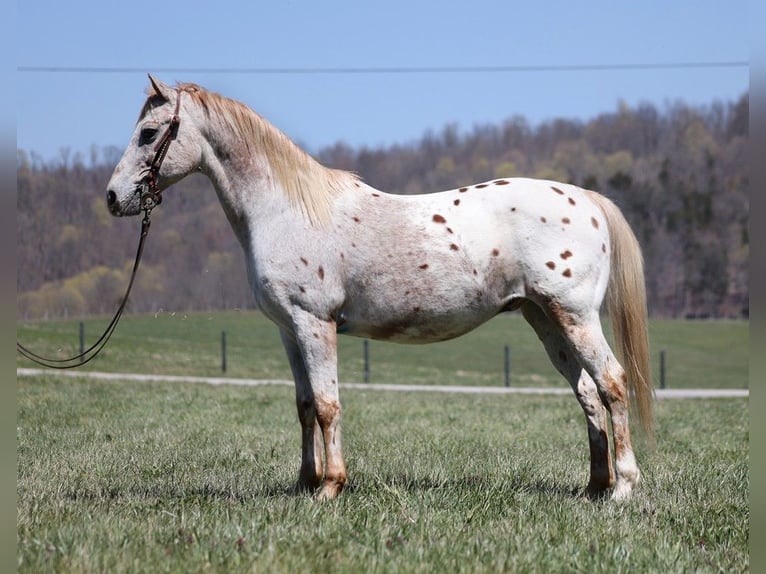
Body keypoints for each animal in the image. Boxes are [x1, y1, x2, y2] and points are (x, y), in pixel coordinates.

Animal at [106, 77, 656, 504]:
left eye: (149, 132)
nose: (113, 198)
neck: (286, 209)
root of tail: (584, 199)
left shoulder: (315, 323)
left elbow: (328, 405)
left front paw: (331, 488)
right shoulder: (288, 330)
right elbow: (304, 406)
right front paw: (304, 484)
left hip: (575, 316)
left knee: (611, 383)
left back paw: (623, 489)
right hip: (545, 319)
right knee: (587, 394)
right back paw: (594, 487)